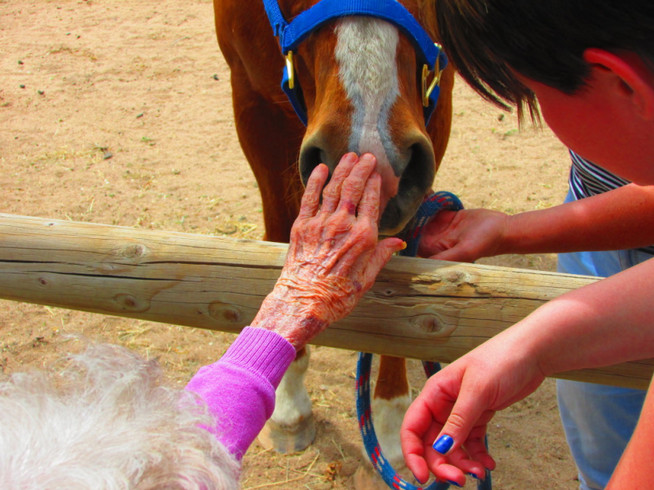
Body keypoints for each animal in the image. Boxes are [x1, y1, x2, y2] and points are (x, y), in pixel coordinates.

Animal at [213, 0, 454, 482]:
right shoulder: (249, 99)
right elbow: (280, 239)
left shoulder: (437, 93)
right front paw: (287, 406)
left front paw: (393, 425)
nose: (371, 154)